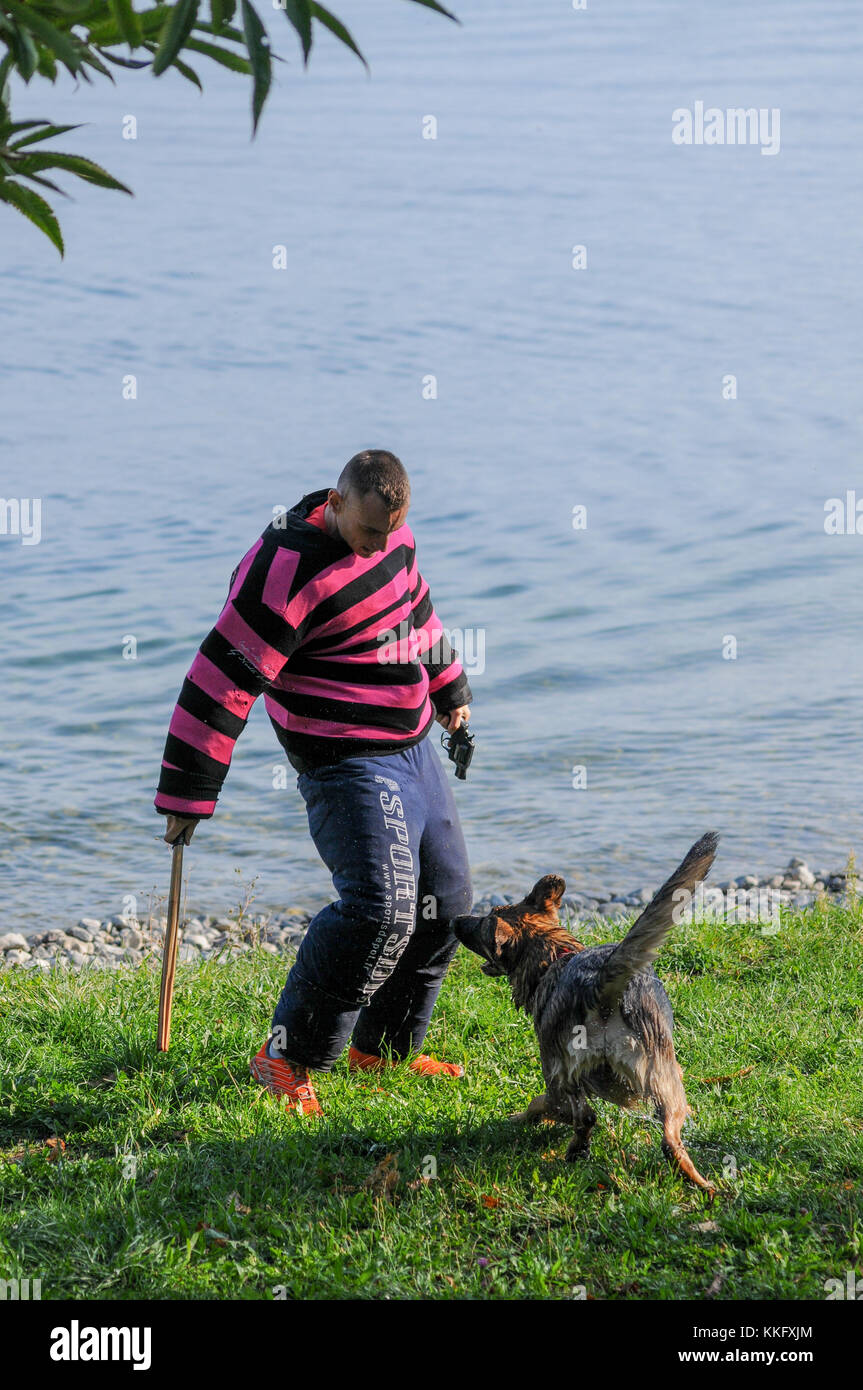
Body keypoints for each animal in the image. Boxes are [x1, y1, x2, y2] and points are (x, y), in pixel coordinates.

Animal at [450, 828, 722, 1189]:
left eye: (482, 923)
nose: (454, 919)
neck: (554, 954)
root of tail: (600, 986)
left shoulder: (555, 1079)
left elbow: (538, 1104)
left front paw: (521, 1119)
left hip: (565, 1075)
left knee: (584, 1117)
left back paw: (575, 1151)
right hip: (667, 1077)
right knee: (669, 1139)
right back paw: (703, 1186)